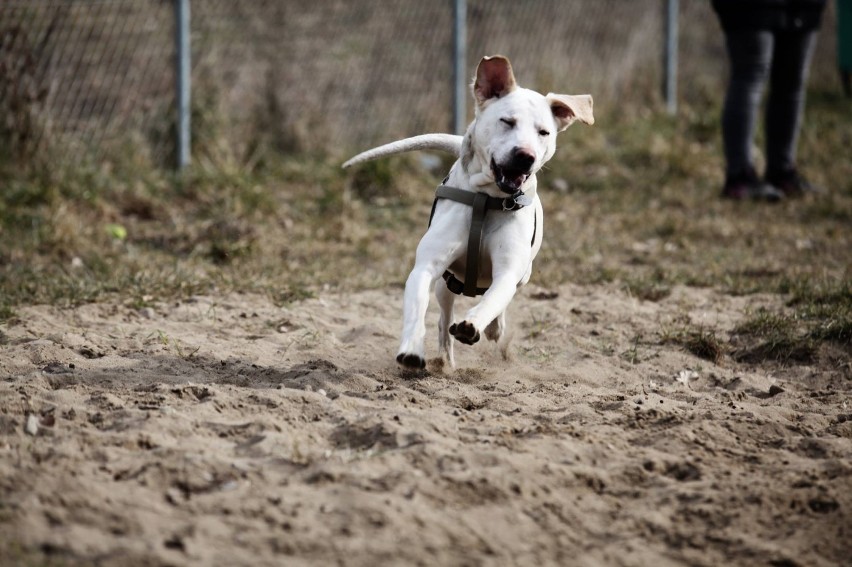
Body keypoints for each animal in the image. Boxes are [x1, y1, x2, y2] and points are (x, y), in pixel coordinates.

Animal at [342, 55, 596, 370]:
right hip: (447, 285)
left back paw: (492, 328)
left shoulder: (508, 270)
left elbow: (493, 299)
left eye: (543, 132)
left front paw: (474, 324)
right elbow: (417, 310)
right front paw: (412, 349)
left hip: (523, 274)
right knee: (443, 319)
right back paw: (446, 361)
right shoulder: (427, 266)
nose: (525, 156)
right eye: (507, 121)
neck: (486, 200)